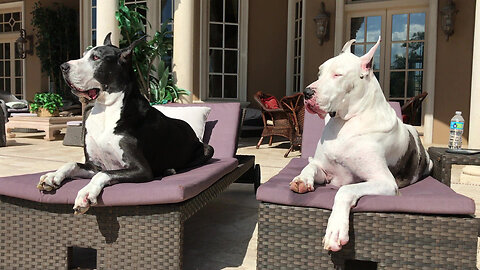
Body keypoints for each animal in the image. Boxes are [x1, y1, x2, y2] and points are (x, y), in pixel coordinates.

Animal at [38, 33, 215, 214]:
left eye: (96, 58)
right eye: (84, 55)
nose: (63, 66)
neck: (106, 108)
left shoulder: (141, 169)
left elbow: (102, 174)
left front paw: (86, 193)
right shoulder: (94, 164)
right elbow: (72, 163)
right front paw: (53, 176)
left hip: (208, 149)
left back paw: (169, 169)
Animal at [290, 37, 434, 252]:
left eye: (338, 74)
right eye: (320, 72)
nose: (306, 92)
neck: (346, 123)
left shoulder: (385, 182)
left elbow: (344, 190)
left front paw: (335, 230)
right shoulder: (326, 172)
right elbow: (311, 167)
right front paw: (302, 179)